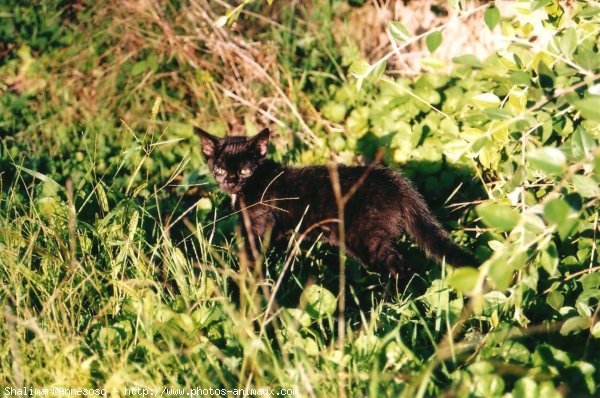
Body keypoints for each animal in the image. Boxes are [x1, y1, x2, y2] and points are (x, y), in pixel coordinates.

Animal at [198, 126, 478, 276]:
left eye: (246, 171)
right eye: (220, 169)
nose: (230, 182)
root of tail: (396, 181)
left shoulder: (258, 227)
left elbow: (250, 256)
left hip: (365, 236)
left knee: (397, 266)